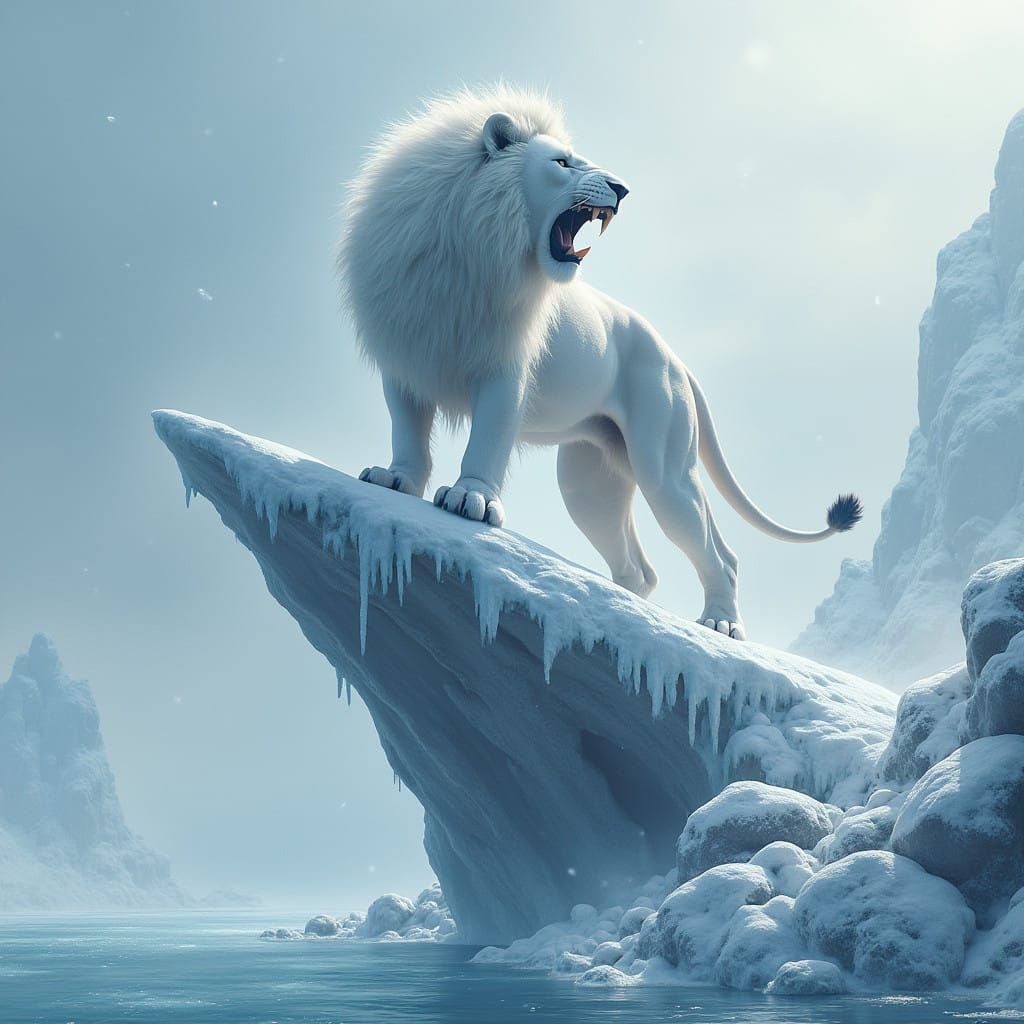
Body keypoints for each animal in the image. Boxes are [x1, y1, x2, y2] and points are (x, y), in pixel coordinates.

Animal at [337, 85, 861, 640]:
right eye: (562, 162)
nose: (621, 188)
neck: (470, 243)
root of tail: (677, 358)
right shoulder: (406, 356)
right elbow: (408, 434)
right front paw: (396, 481)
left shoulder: (505, 370)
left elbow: (487, 442)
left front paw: (471, 502)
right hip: (590, 481)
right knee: (640, 569)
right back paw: (616, 608)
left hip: (664, 467)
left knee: (721, 554)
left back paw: (720, 623)